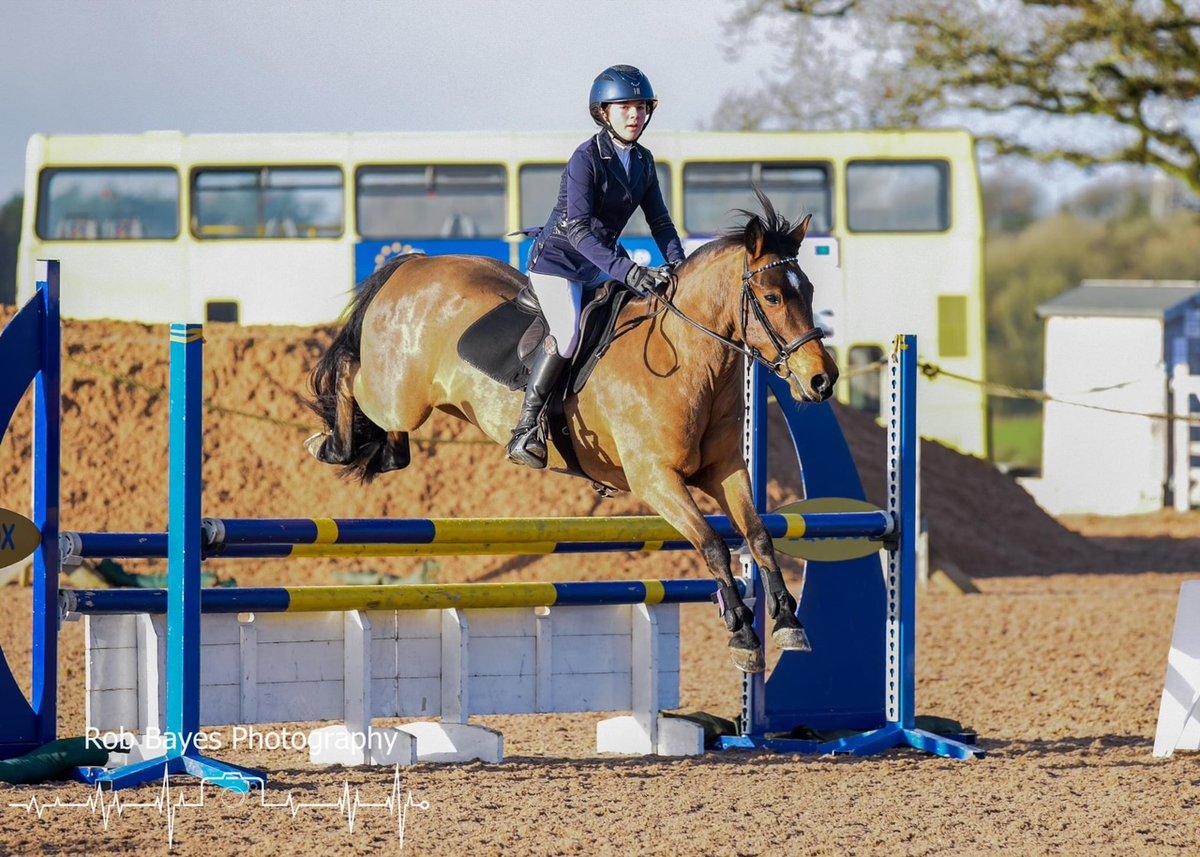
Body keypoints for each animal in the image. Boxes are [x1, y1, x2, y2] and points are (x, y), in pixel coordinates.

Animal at [305, 191, 839, 673]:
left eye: (811, 292)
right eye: (772, 296)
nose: (822, 379)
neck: (687, 362)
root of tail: (413, 265)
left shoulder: (724, 469)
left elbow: (758, 535)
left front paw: (787, 622)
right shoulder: (655, 479)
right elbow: (712, 544)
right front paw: (742, 631)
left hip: (408, 407)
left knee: (394, 444)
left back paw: (373, 451)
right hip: (396, 395)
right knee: (349, 372)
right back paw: (330, 444)